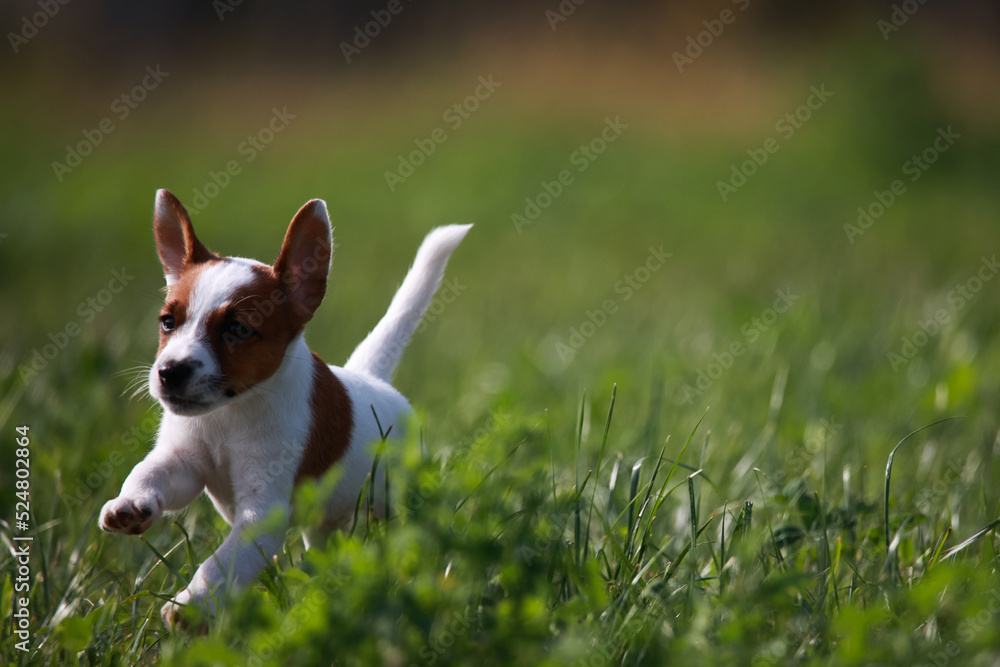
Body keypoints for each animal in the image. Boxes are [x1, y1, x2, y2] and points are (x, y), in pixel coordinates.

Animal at [101, 189, 472, 628]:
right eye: (168, 322)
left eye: (238, 329)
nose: (170, 371)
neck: (230, 416)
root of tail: (372, 378)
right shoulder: (183, 462)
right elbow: (149, 472)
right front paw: (130, 504)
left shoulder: (261, 513)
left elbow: (220, 563)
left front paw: (192, 604)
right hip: (325, 524)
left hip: (394, 502)